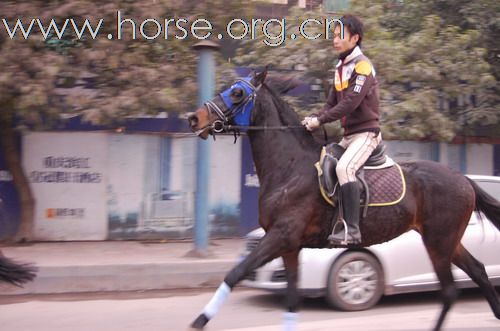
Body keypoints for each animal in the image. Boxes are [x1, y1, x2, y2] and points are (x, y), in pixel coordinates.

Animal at [188, 68, 500, 330]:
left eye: (237, 93)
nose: (194, 118)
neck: (289, 167)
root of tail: (464, 179)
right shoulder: (290, 247)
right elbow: (291, 300)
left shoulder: (281, 236)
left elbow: (235, 273)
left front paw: (200, 319)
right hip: (447, 241)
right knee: (478, 272)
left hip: (438, 242)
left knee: (450, 291)